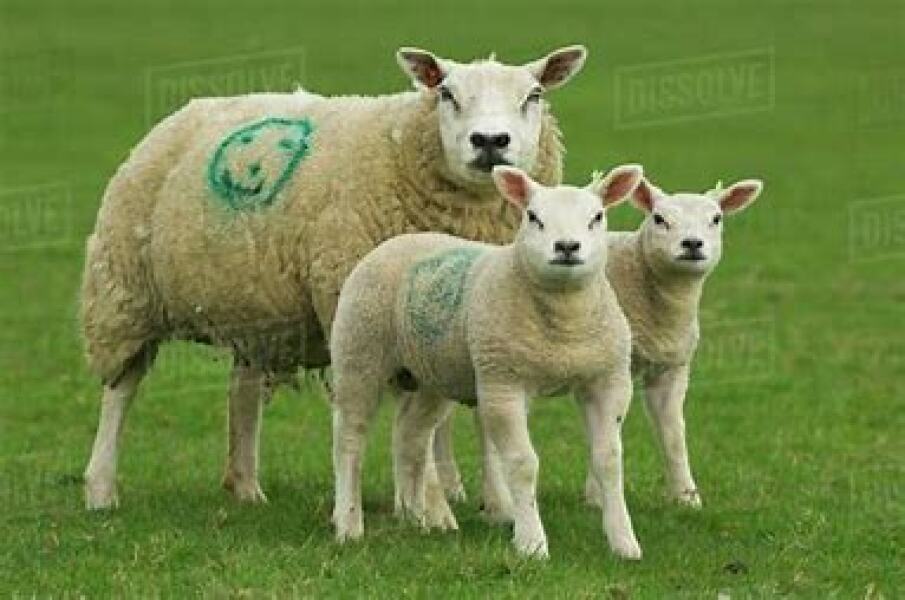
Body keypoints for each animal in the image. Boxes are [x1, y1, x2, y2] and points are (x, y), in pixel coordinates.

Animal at [80, 44, 588, 510]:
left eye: (534, 95)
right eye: (446, 93)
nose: (490, 141)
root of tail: (187, 110)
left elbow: (475, 415)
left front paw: (494, 504)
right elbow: (417, 420)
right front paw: (427, 504)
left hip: (254, 308)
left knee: (243, 389)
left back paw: (245, 487)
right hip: (124, 292)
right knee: (120, 390)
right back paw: (101, 490)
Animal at [329, 164, 645, 559]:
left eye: (597, 217)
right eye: (533, 217)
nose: (567, 247)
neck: (564, 329)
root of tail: (400, 239)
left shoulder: (608, 381)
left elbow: (609, 461)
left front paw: (624, 542)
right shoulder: (502, 382)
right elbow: (523, 464)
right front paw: (532, 543)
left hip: (433, 375)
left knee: (410, 435)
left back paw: (418, 519)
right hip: (359, 352)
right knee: (349, 439)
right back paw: (349, 524)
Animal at [432, 175, 764, 517]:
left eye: (716, 219)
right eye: (659, 219)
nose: (693, 244)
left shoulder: (671, 367)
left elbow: (673, 433)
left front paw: (687, 497)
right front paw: (595, 496)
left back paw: (453, 489)